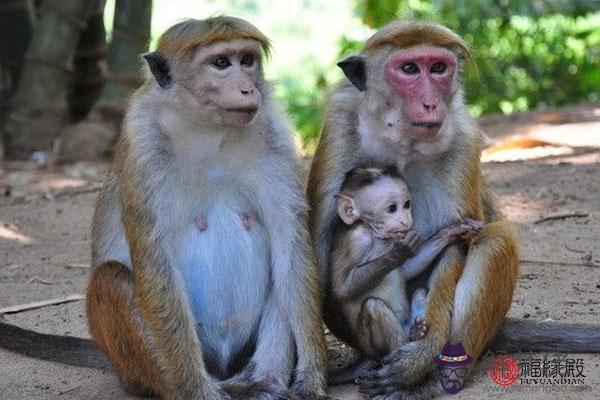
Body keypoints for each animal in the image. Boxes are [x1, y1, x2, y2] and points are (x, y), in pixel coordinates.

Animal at [0, 16, 328, 400]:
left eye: (247, 60)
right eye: (221, 63)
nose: (249, 89)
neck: (207, 130)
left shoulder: (274, 133)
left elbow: (290, 249)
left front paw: (312, 378)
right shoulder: (143, 147)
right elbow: (157, 267)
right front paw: (197, 392)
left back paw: (262, 381)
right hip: (137, 368)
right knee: (110, 278)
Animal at [328, 166, 482, 384]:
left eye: (407, 205)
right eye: (392, 208)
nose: (406, 219)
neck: (375, 234)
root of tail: (367, 355)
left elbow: (408, 270)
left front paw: (453, 230)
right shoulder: (356, 241)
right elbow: (341, 288)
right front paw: (400, 251)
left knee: (418, 292)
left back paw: (416, 335)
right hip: (373, 347)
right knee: (373, 307)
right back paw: (401, 354)